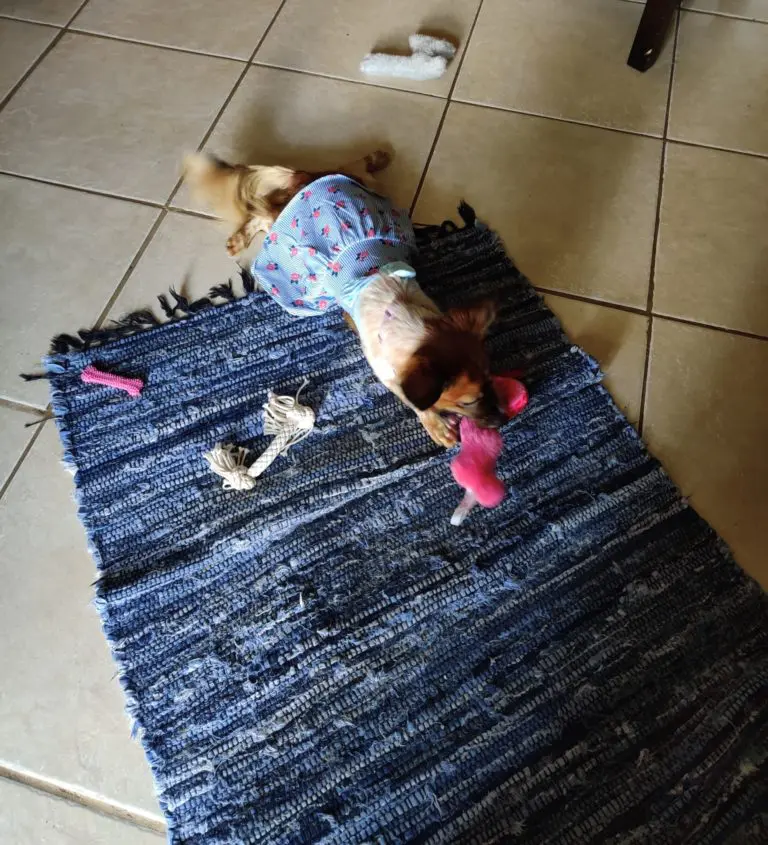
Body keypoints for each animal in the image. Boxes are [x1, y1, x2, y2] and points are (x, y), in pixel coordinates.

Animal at [182, 152, 500, 448]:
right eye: (468, 401)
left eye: (490, 376)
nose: (502, 419)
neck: (403, 317)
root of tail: (305, 180)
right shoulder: (387, 370)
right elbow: (414, 402)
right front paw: (437, 426)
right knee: (263, 213)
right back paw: (241, 238)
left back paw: (376, 157)